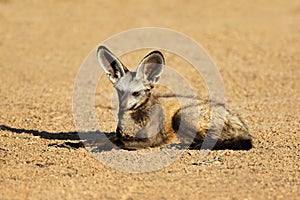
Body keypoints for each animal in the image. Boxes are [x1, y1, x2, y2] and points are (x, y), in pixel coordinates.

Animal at [97, 45, 252, 150]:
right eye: (119, 91)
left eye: (136, 93)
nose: (123, 106)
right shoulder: (120, 133)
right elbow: (110, 138)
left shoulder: (153, 139)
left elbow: (120, 142)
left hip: (180, 117)